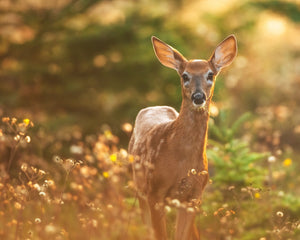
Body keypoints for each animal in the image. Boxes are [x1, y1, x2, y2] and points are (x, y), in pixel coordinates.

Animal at [127, 34, 238, 240]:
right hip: (139, 187)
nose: (198, 97)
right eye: (185, 76)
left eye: (210, 75)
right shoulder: (155, 192)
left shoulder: (193, 196)